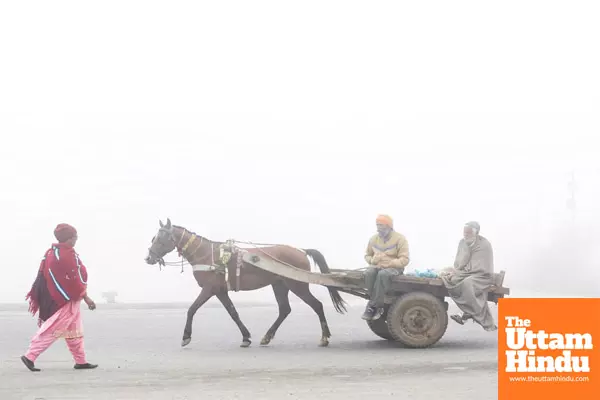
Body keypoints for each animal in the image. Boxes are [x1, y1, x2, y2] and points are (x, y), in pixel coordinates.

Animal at [144, 219, 346, 346]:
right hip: (279, 284)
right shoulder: (220, 290)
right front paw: (246, 337)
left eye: (161, 238)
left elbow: (192, 309)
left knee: (317, 305)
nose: (148, 258)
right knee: (284, 309)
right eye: (154, 237)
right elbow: (233, 312)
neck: (207, 255)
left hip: (297, 285)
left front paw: (186, 336)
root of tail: (301, 250)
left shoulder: (210, 288)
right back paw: (267, 337)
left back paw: (324, 337)